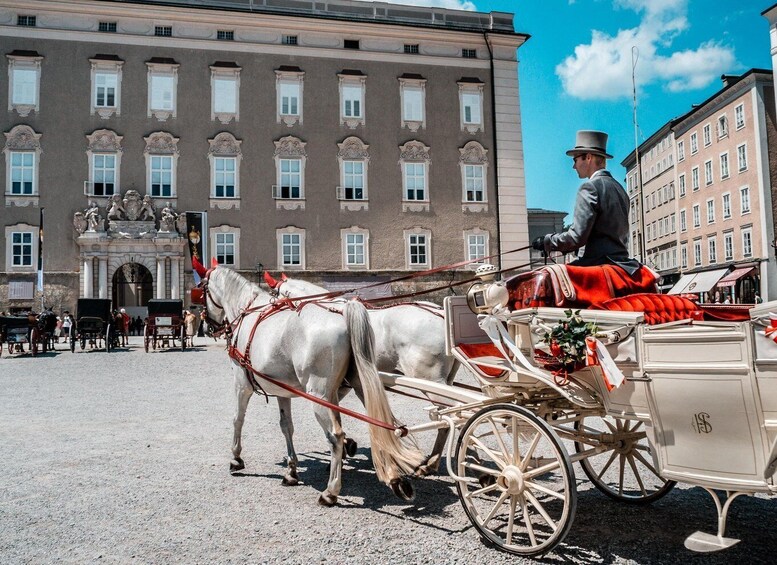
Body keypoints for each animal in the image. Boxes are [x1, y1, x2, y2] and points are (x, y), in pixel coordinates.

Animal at [197, 266, 422, 504]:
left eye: (201, 289)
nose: (207, 327)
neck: (248, 311)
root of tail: (343, 313)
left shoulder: (242, 384)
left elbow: (237, 420)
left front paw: (236, 458)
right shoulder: (283, 391)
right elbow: (286, 426)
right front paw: (291, 469)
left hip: (320, 394)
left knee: (336, 436)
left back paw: (331, 491)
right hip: (360, 384)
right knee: (382, 422)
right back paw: (396, 477)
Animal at [266, 270, 460, 474]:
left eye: (273, 299)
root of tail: (441, 314)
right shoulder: (344, 385)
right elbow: (337, 413)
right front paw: (346, 446)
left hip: (431, 381)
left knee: (450, 417)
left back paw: (432, 462)